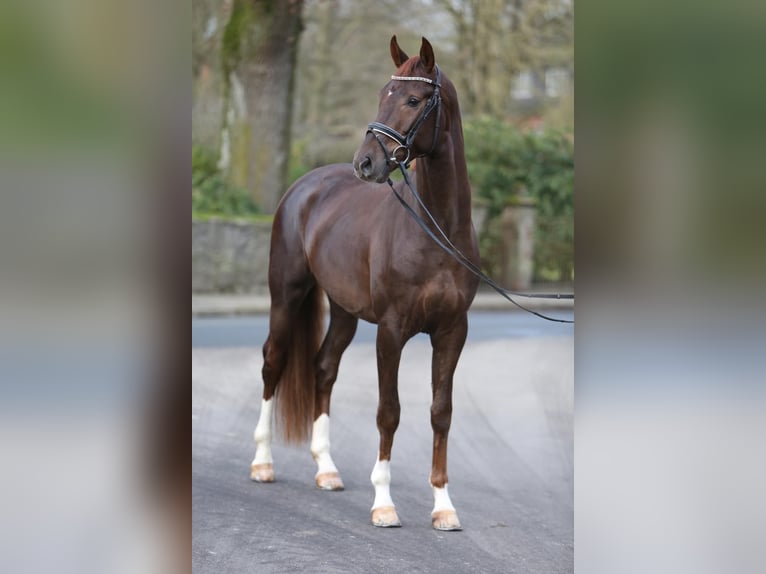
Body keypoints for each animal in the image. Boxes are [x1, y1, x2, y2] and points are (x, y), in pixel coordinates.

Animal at [250, 35, 479, 531]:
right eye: (381, 95)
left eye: (413, 99)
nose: (366, 163)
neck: (437, 230)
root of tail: (305, 186)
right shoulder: (391, 331)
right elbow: (388, 412)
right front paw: (384, 504)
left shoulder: (452, 332)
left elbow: (441, 413)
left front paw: (444, 506)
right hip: (287, 295)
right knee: (273, 363)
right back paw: (262, 464)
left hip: (344, 312)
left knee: (323, 368)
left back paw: (327, 470)